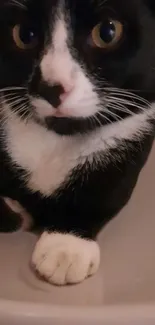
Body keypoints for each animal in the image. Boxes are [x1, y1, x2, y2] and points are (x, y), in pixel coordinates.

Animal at [0, 0, 155, 284]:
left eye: (107, 32)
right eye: (24, 35)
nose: (51, 88)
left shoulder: (135, 131)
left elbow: (109, 186)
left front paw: (66, 246)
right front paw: (14, 214)